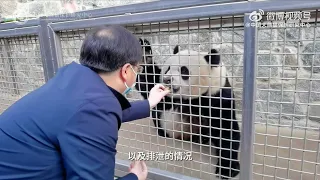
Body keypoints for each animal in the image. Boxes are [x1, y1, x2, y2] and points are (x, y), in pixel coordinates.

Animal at [136, 38, 241, 179]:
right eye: (168, 68)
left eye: (184, 71)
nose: (167, 79)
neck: (189, 99)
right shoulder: (167, 97)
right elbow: (148, 84)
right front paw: (144, 53)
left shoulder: (216, 96)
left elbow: (225, 128)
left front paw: (227, 169)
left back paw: (201, 139)